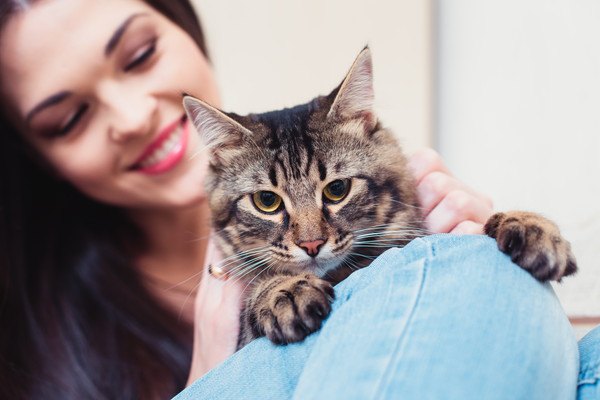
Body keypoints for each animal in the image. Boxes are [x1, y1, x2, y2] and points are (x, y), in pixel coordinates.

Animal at [183, 47, 576, 348]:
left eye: (337, 190)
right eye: (267, 201)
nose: (311, 245)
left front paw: (530, 226)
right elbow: (261, 289)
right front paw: (285, 290)